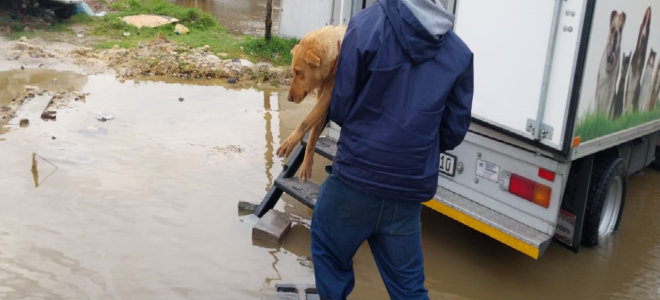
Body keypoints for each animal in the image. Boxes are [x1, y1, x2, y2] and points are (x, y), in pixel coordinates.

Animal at [276, 25, 348, 183]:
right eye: (293, 71)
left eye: (298, 72)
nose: (288, 98)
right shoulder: (321, 99)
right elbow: (312, 138)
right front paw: (306, 166)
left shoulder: (327, 96)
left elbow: (304, 122)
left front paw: (289, 143)